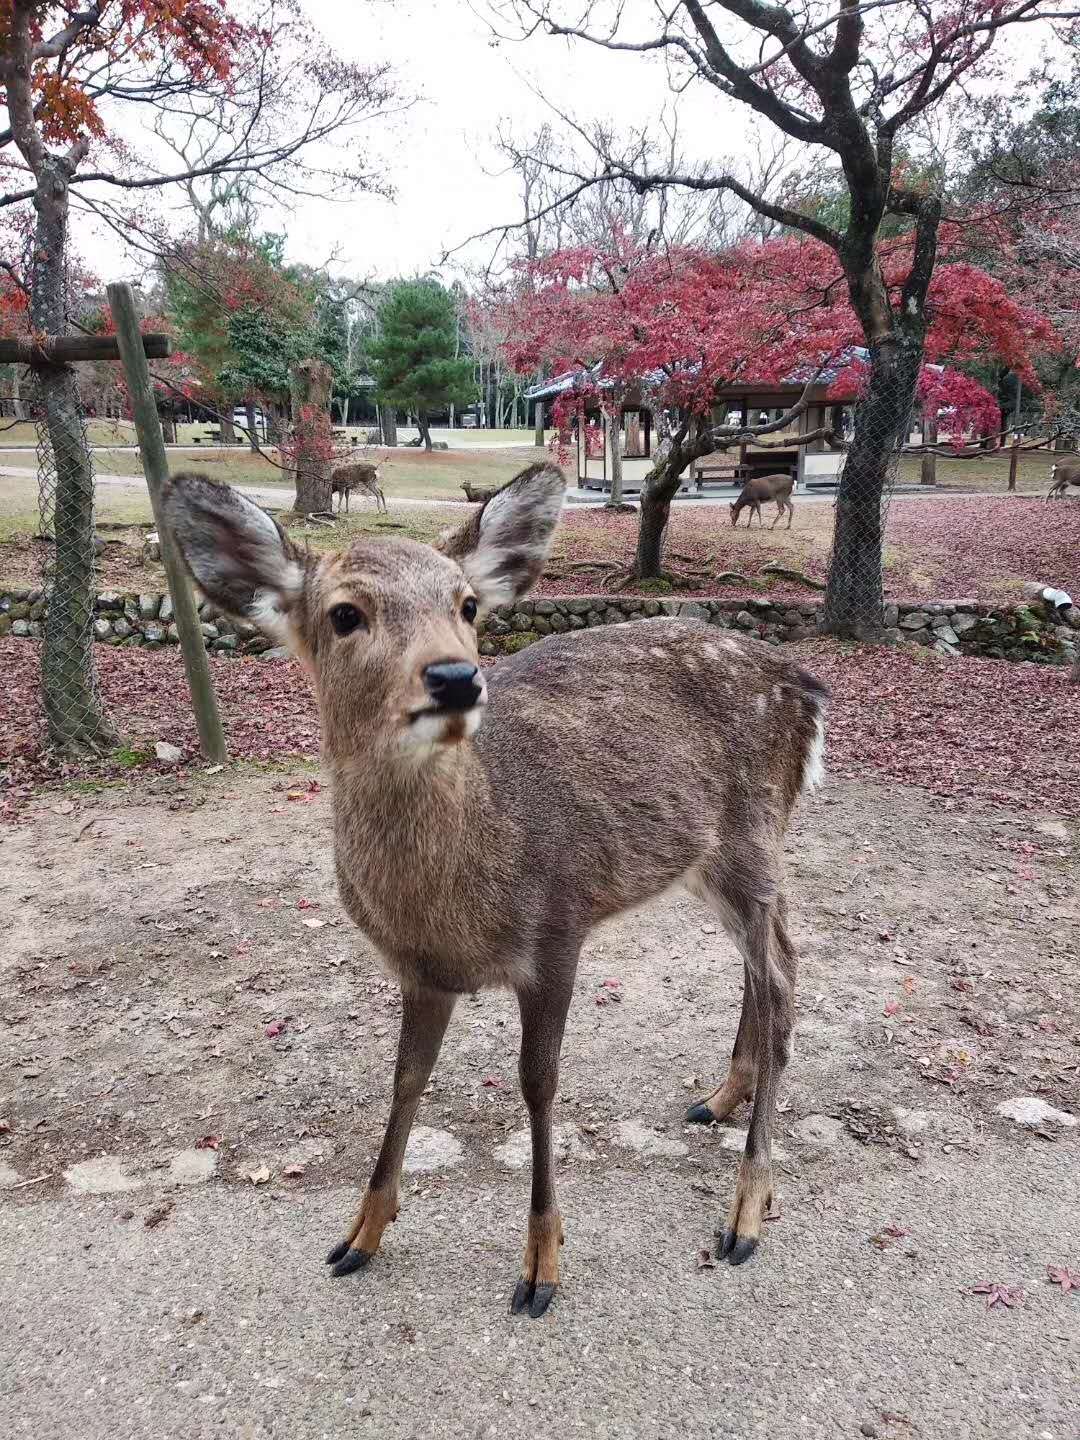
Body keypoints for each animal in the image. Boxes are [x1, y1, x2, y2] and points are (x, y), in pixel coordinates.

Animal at [164, 466, 835, 1319]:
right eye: (345, 613)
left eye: (466, 605)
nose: (456, 676)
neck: (452, 903)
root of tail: (805, 687)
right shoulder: (419, 972)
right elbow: (406, 1079)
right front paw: (359, 1235)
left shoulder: (557, 929)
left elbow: (538, 1084)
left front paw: (542, 1265)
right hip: (710, 862)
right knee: (760, 965)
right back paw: (719, 1098)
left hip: (753, 833)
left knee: (783, 973)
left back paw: (747, 1207)